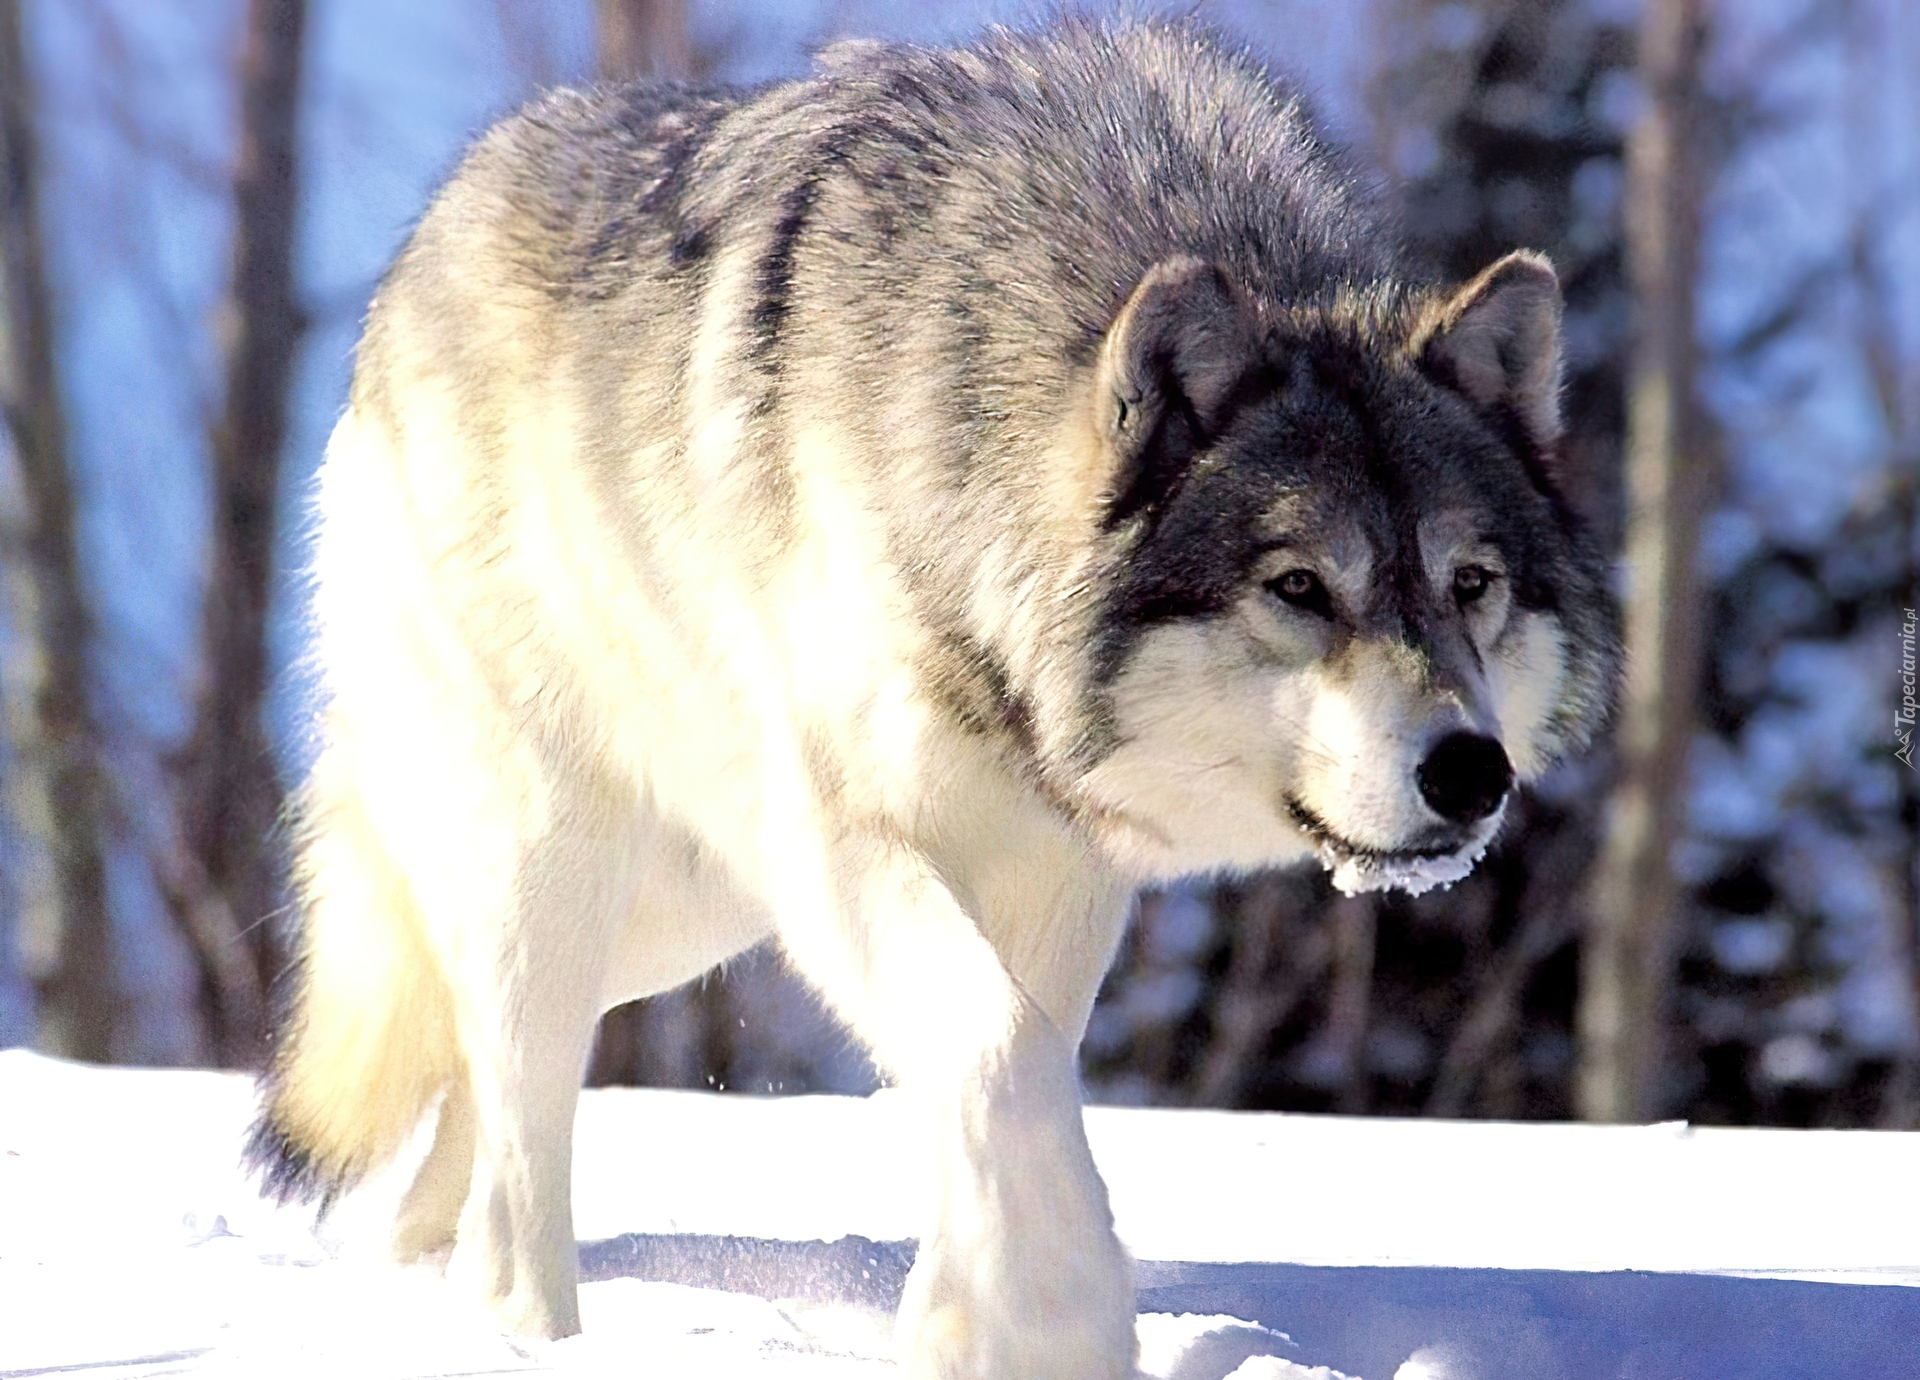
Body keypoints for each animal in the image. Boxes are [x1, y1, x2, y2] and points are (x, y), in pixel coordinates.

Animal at [243, 13, 1620, 1380]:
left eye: (1471, 584)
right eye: (1299, 586)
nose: (1473, 772)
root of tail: (433, 229)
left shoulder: (1059, 871)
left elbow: (1009, 1078)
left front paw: (959, 1333)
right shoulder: (846, 842)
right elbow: (1002, 1054)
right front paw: (1064, 1317)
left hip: (688, 913)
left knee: (467, 1079)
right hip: (572, 861)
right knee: (515, 1124)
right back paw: (518, 1331)